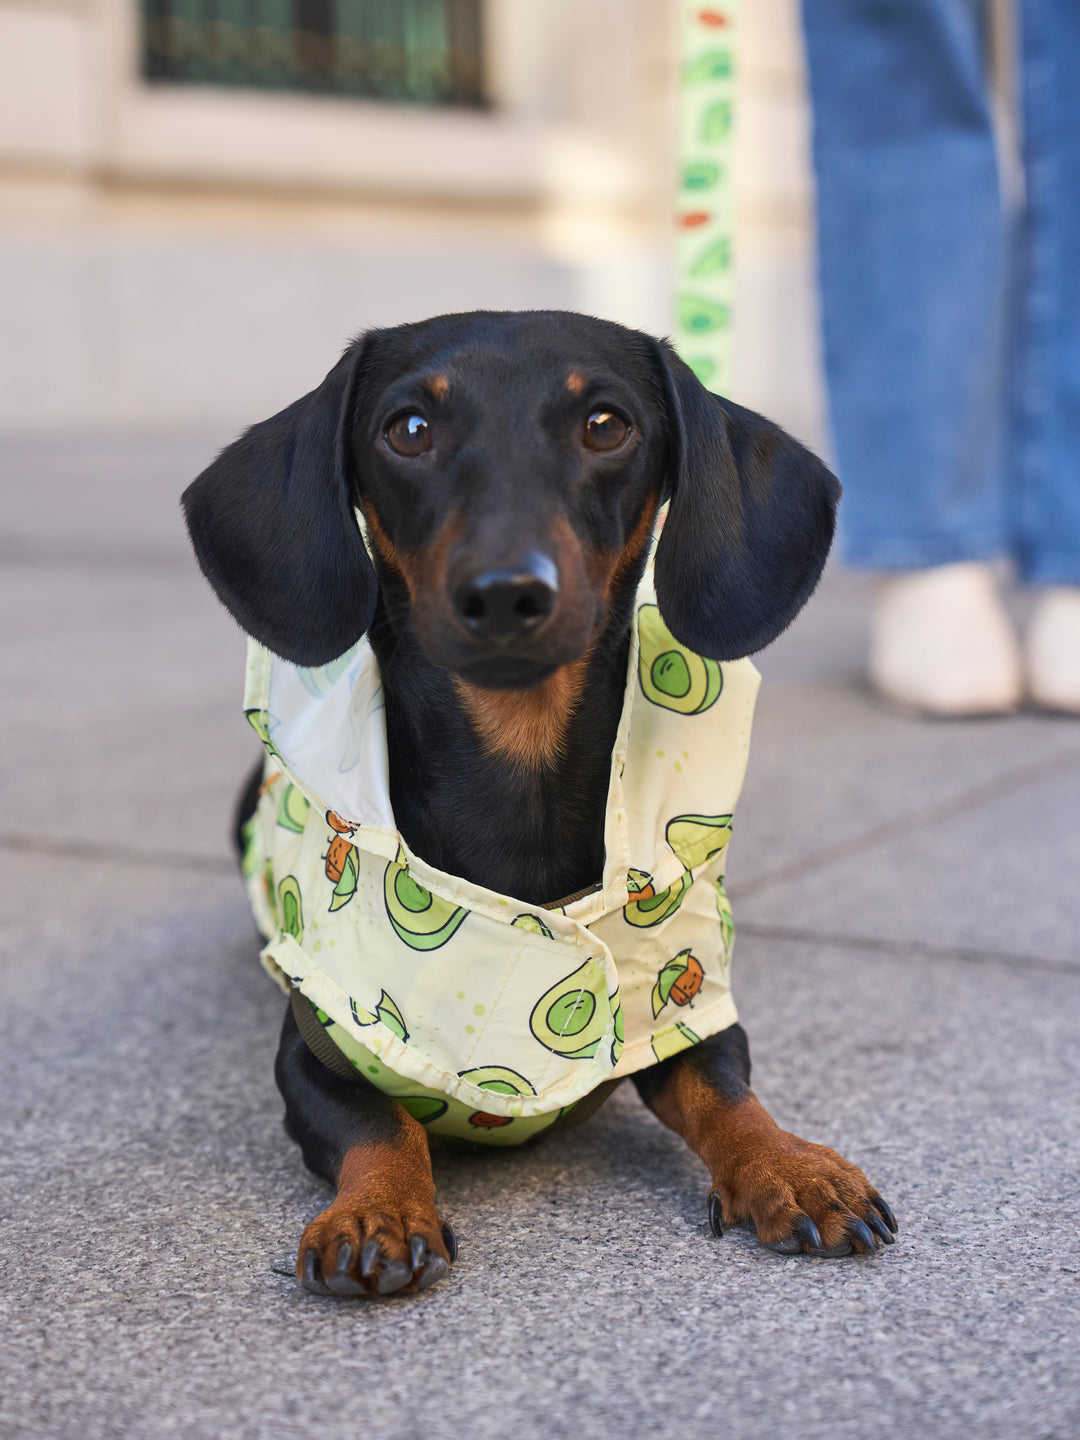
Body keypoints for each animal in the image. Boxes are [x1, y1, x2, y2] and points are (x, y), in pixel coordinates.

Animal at [184, 309, 898, 1301]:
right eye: (409, 428)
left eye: (606, 424)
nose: (504, 593)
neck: (516, 772)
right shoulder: (313, 1055)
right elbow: (378, 1124)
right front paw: (378, 1211)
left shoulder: (683, 1010)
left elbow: (723, 1089)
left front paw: (793, 1167)